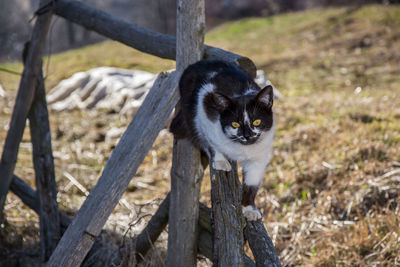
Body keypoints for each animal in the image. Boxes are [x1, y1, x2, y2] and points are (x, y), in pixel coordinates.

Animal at [170, 59, 274, 221]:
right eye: (235, 124)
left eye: (257, 122)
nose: (247, 135)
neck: (242, 147)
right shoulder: (205, 112)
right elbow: (211, 143)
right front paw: (220, 161)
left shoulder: (259, 158)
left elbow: (251, 184)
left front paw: (249, 208)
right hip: (189, 111)